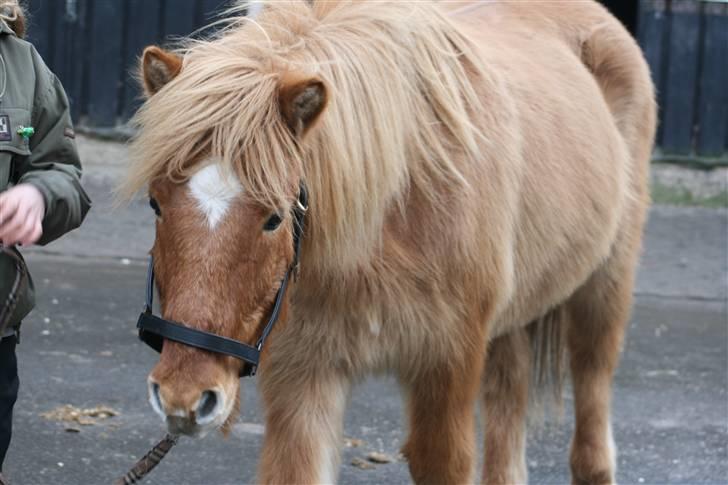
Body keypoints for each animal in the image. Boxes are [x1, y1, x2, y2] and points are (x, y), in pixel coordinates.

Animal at [122, 1, 656, 482]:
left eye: (275, 219)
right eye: (156, 203)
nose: (184, 398)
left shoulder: (447, 369)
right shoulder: (304, 379)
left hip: (602, 296)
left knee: (591, 422)